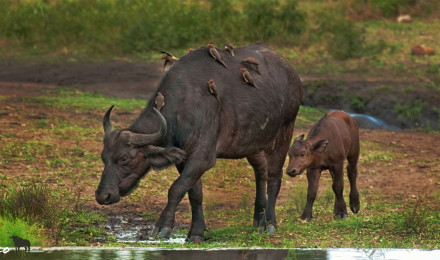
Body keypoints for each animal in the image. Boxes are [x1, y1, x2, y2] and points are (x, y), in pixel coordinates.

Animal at [95, 44, 302, 242]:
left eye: (125, 159)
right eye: (104, 158)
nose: (103, 196)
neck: (184, 105)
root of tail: (292, 74)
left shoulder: (202, 157)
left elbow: (176, 188)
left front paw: (163, 227)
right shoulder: (183, 158)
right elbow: (194, 194)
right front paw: (196, 232)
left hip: (285, 131)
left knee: (274, 176)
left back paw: (270, 223)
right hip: (253, 142)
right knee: (261, 171)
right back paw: (258, 219)